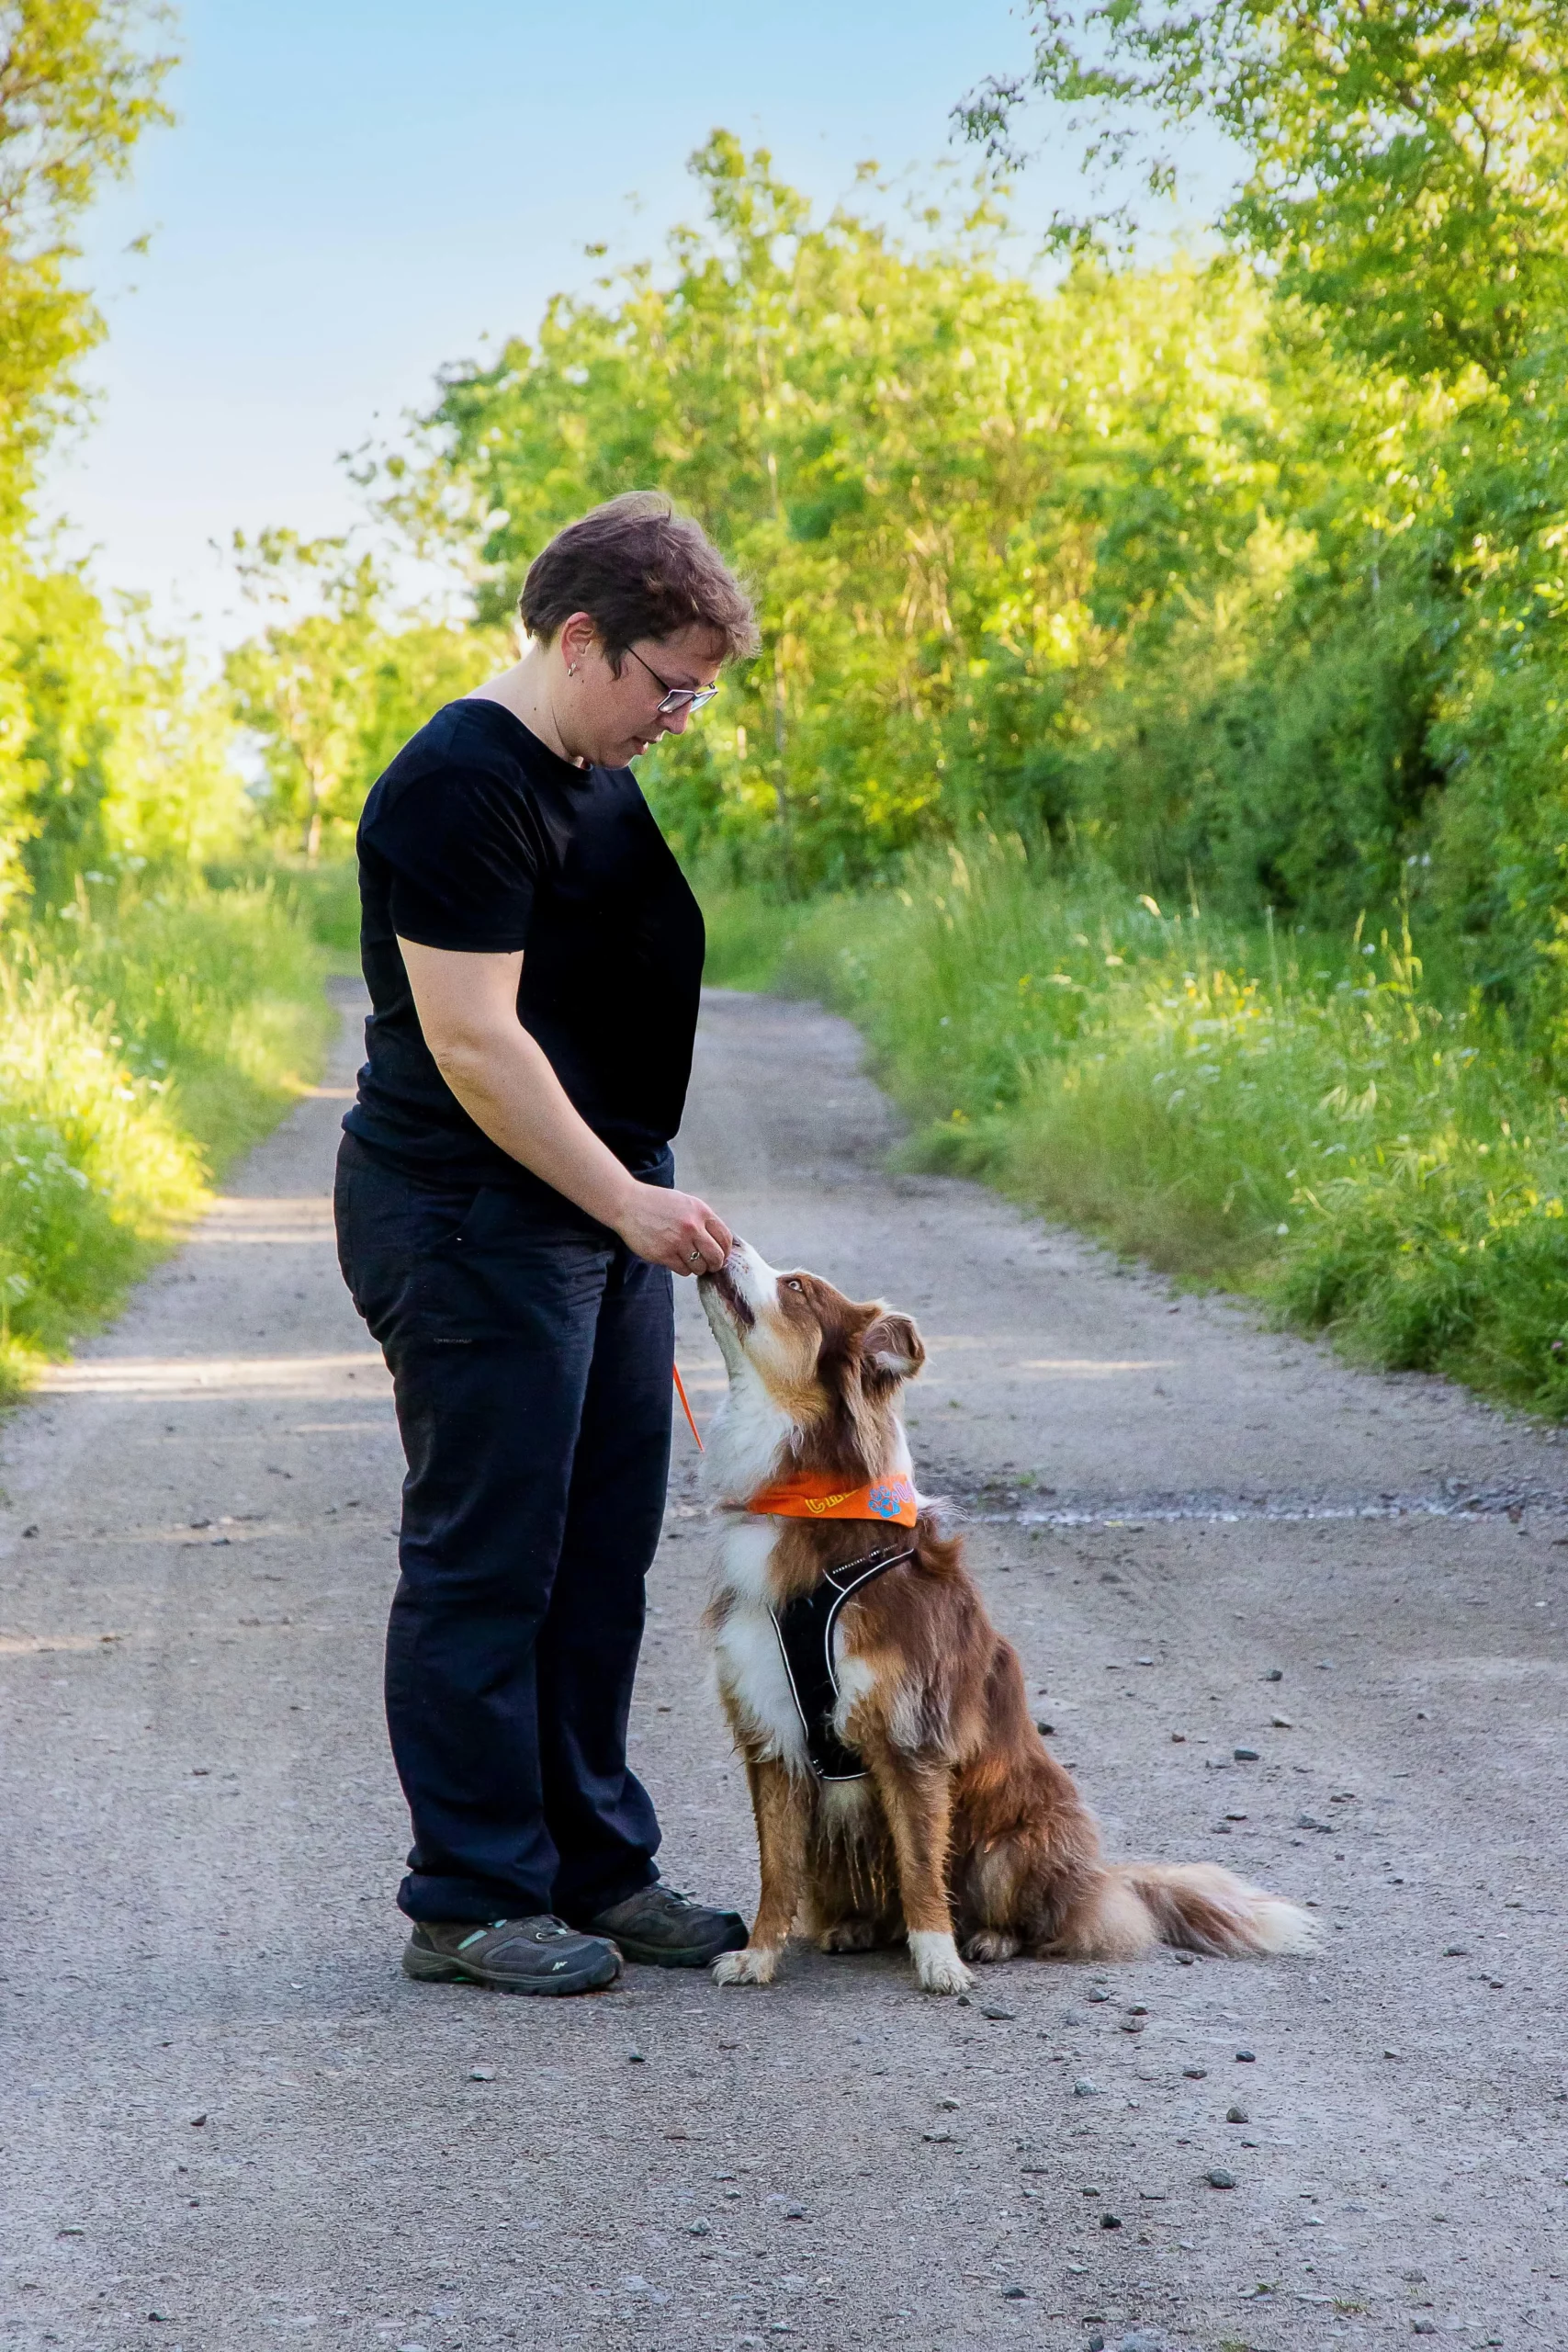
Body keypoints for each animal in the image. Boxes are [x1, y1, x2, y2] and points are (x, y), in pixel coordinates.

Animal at [700, 1241, 1316, 1994]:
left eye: (795, 1288)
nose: (724, 1239)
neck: (810, 1503)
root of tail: (1100, 1880)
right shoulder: (771, 1733)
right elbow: (776, 1867)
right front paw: (758, 1957)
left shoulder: (912, 1736)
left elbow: (920, 1866)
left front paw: (939, 1961)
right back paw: (854, 1928)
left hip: (1014, 1841)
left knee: (1037, 1919)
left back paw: (989, 1939)